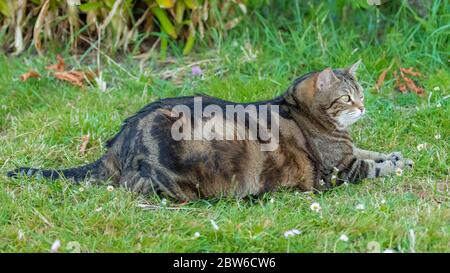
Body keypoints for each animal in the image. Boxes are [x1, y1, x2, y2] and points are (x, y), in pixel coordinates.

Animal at [7, 61, 414, 201]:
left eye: (361, 93)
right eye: (347, 97)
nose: (363, 106)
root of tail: (118, 143)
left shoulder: (351, 153)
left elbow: (371, 151)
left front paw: (400, 155)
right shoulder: (339, 170)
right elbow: (373, 165)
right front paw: (396, 164)